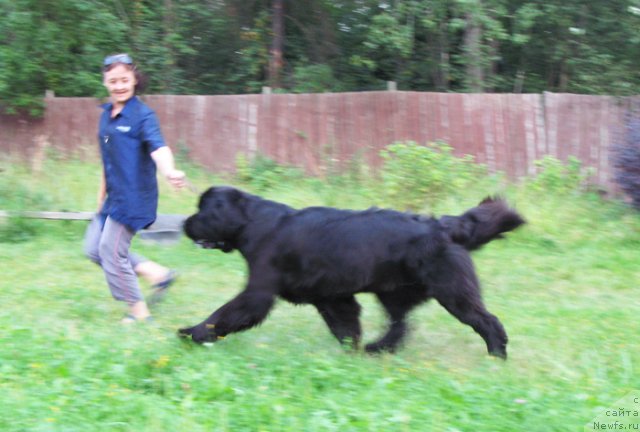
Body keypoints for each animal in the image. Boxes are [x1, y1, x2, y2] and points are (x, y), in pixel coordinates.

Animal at [178, 186, 524, 358]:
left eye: (201, 210)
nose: (184, 222)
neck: (253, 222)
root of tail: (444, 226)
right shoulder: (333, 297)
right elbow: (346, 326)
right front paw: (351, 351)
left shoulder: (258, 293)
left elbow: (224, 314)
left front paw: (193, 332)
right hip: (393, 292)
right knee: (400, 325)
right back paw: (377, 349)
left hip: (453, 292)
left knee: (487, 321)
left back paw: (497, 355)